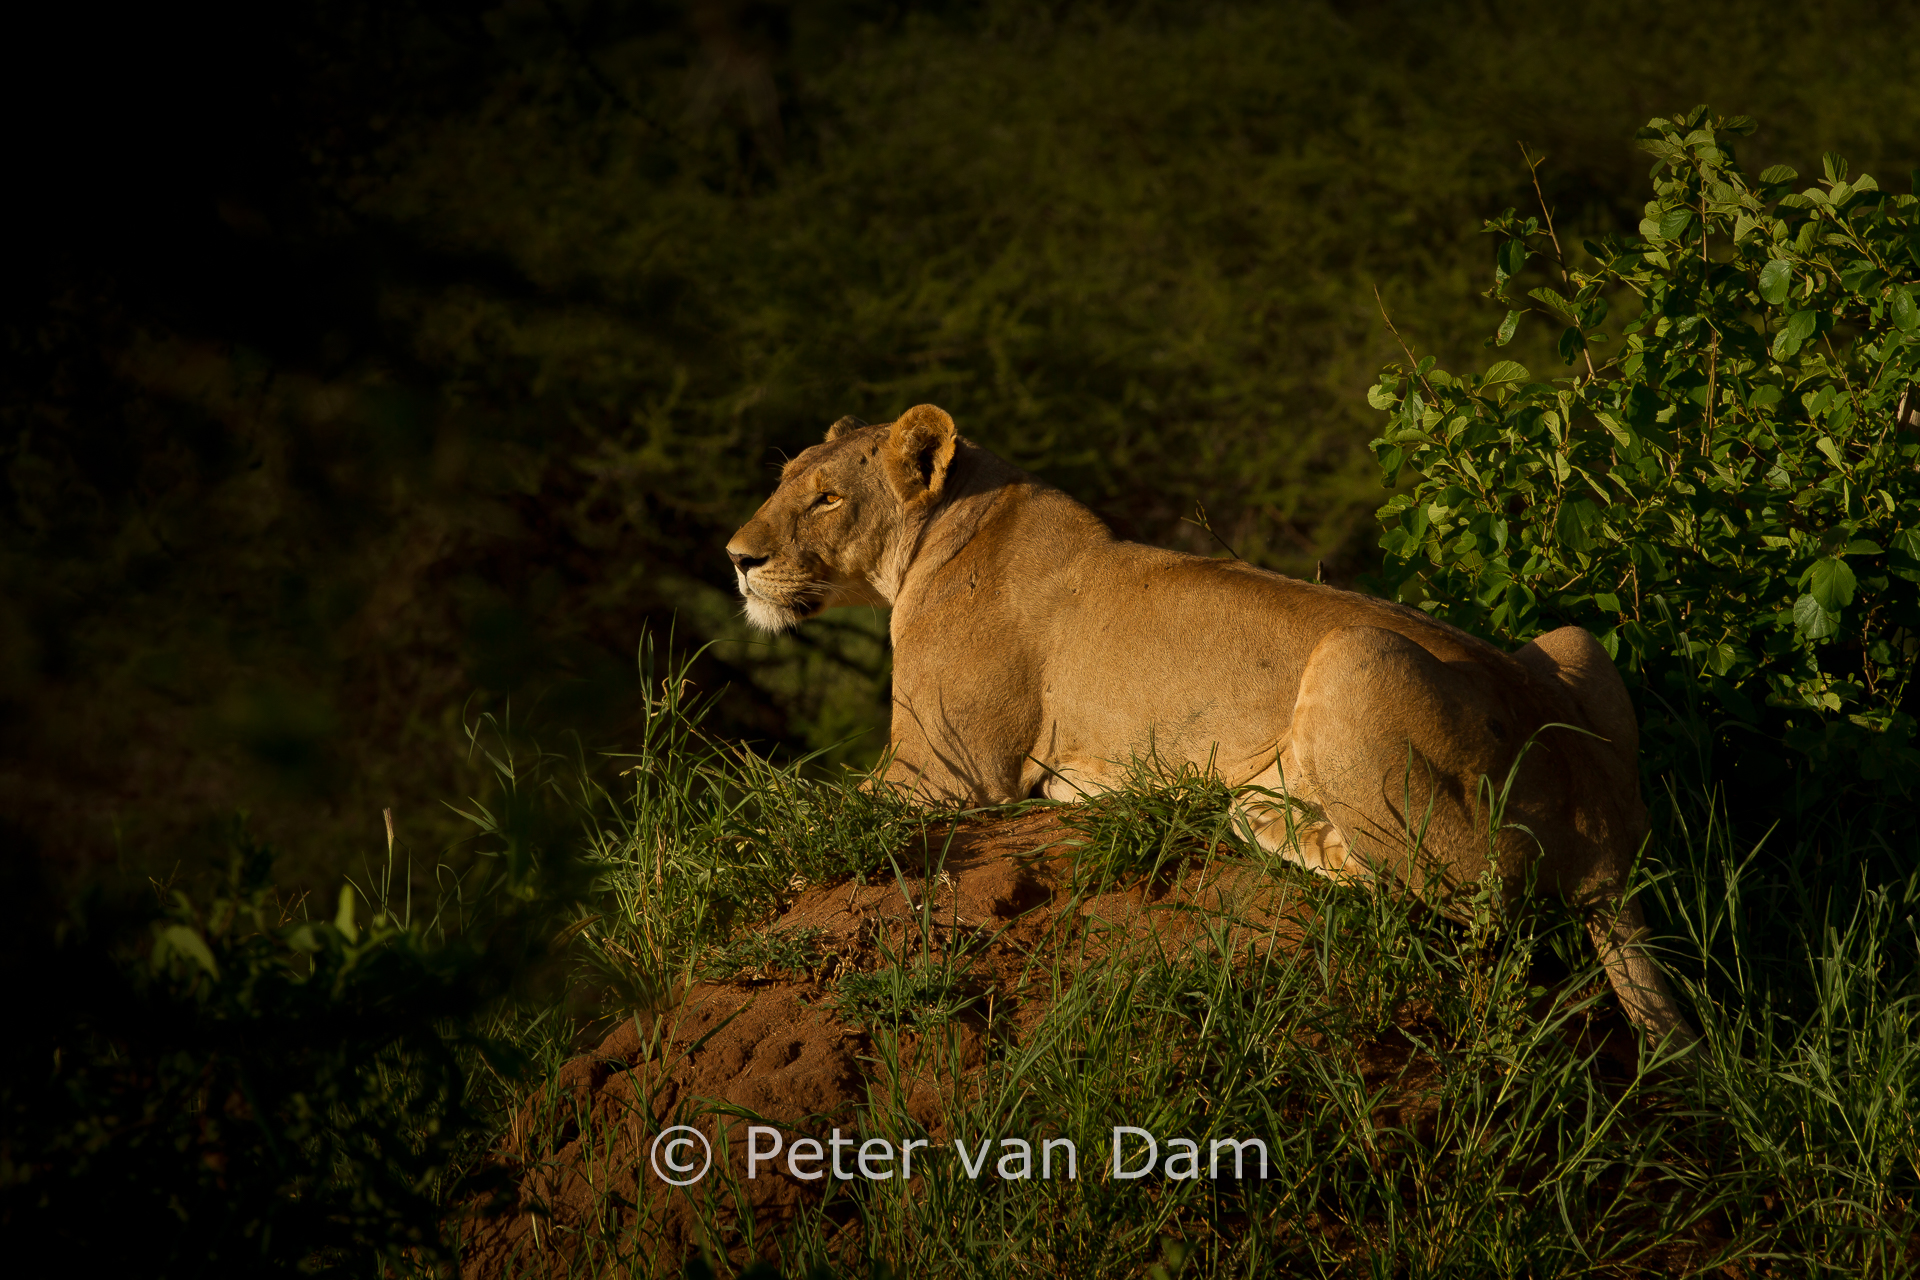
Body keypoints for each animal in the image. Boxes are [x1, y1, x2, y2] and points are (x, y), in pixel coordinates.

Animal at [726, 404, 1697, 1047]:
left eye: (825, 500)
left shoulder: (948, 774)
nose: (737, 560)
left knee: (1470, 900)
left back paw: (1268, 818)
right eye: (780, 484)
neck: (945, 529)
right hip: (1574, 643)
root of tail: (1604, 837)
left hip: (1355, 657)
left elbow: (786, 819)